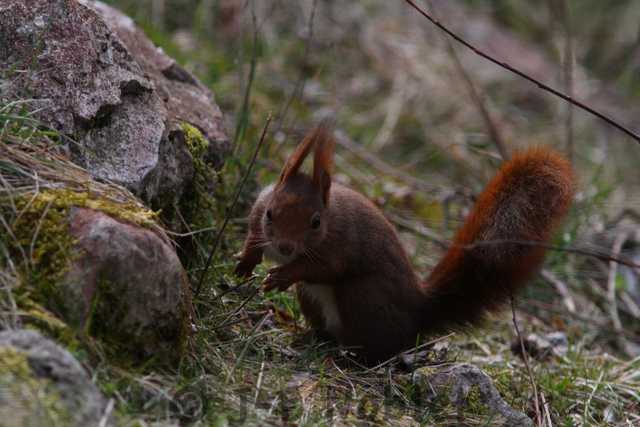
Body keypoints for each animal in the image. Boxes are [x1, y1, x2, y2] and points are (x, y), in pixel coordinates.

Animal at [234, 122, 575, 363]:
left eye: (316, 222)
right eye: (271, 213)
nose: (285, 248)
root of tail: (418, 309)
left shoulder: (339, 246)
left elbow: (324, 268)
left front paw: (282, 276)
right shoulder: (259, 208)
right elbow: (252, 234)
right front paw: (245, 261)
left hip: (361, 296)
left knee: (376, 346)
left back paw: (351, 357)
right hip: (312, 299)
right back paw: (314, 339)